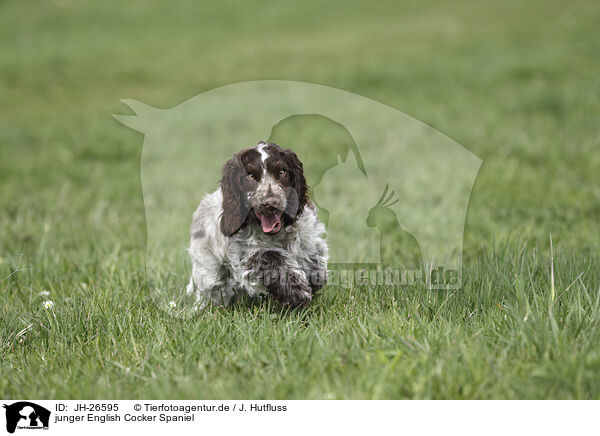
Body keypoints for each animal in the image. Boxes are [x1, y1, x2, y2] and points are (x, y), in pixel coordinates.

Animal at [188, 141, 328, 308]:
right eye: (251, 176)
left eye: (282, 172)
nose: (270, 204)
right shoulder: (244, 255)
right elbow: (269, 256)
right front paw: (295, 293)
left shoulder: (308, 233)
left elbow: (313, 256)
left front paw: (313, 279)